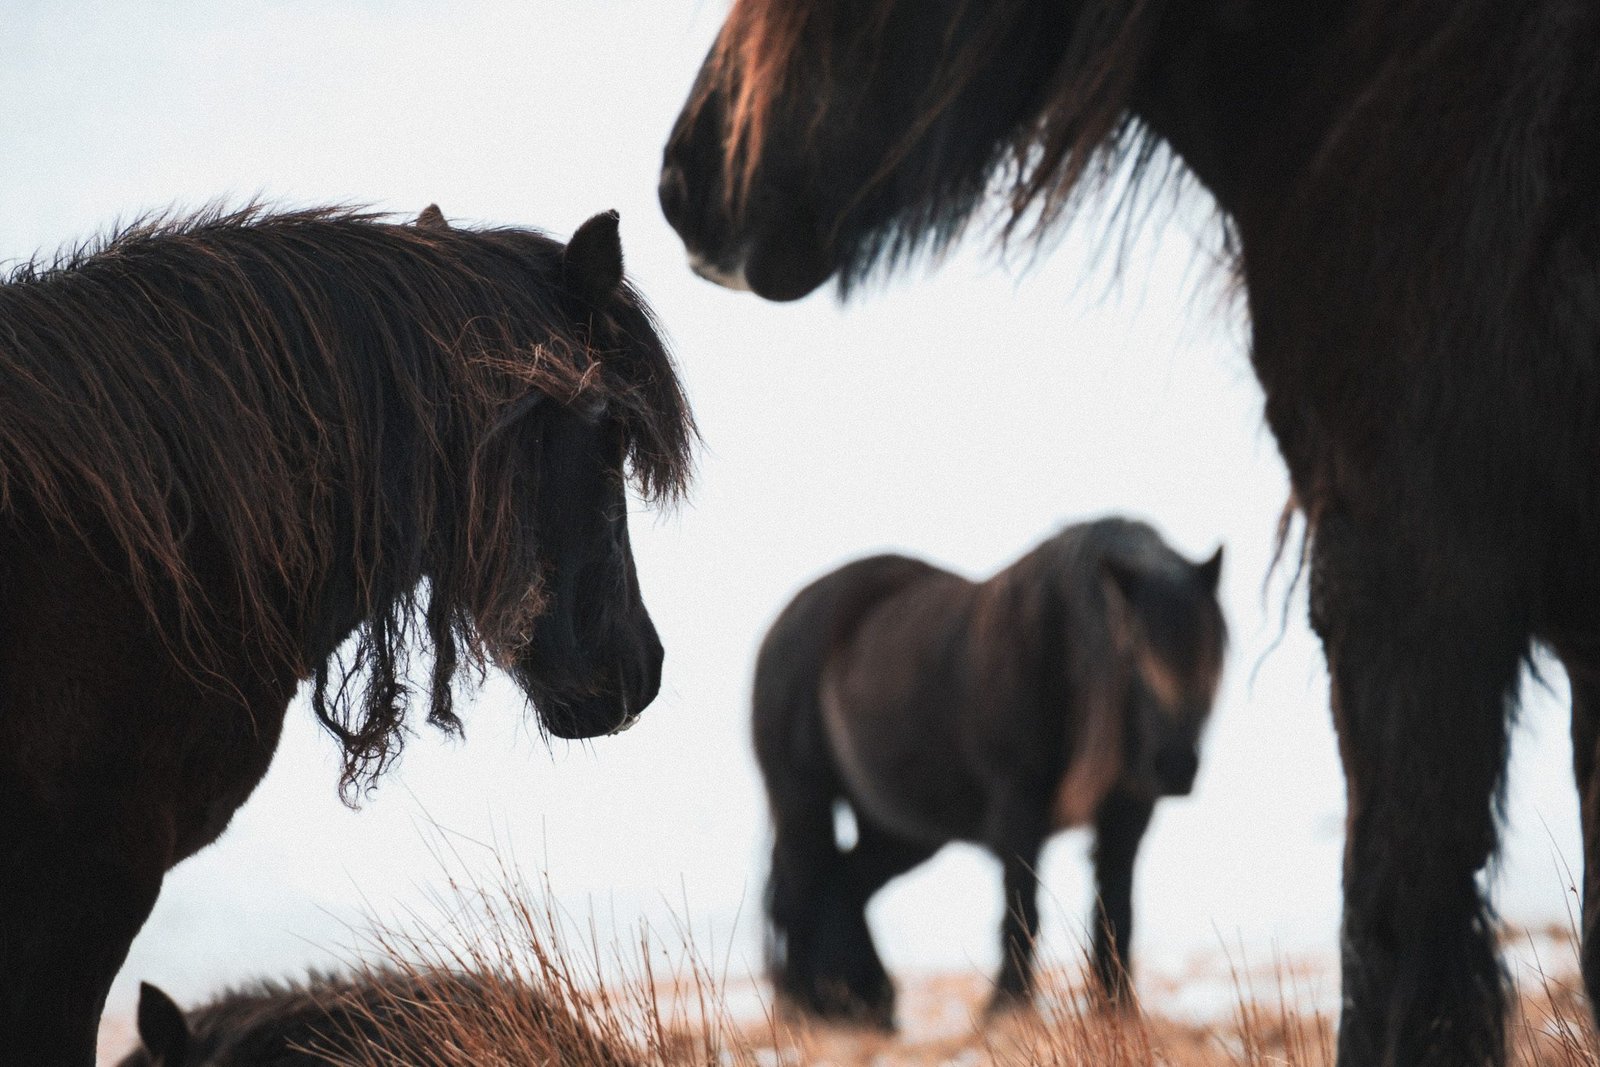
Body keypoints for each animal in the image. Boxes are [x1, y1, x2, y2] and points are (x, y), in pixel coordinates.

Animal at [753, 519, 1224, 1028]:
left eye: (1211, 655)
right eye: (1132, 651)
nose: (1176, 768)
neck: (1058, 652)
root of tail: (784, 622)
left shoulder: (1126, 814)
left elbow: (1115, 911)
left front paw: (1118, 1011)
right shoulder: (1018, 813)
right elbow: (1022, 909)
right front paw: (1006, 1011)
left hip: (903, 829)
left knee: (842, 882)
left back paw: (861, 1006)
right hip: (803, 801)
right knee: (804, 881)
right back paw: (807, 1006)